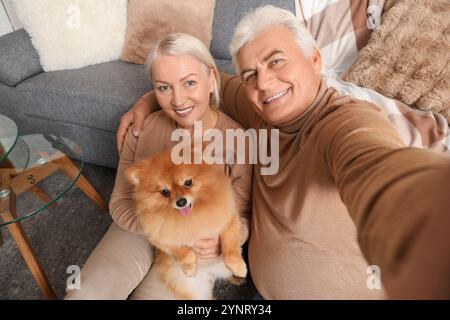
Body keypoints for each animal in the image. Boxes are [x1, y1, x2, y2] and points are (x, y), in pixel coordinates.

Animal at [125, 149, 248, 298]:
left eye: (188, 182)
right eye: (165, 191)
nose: (181, 202)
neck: (190, 216)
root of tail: (211, 273)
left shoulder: (229, 218)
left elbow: (230, 247)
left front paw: (238, 266)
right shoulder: (161, 237)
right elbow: (184, 252)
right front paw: (190, 269)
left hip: (222, 269)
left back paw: (237, 278)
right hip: (195, 289)